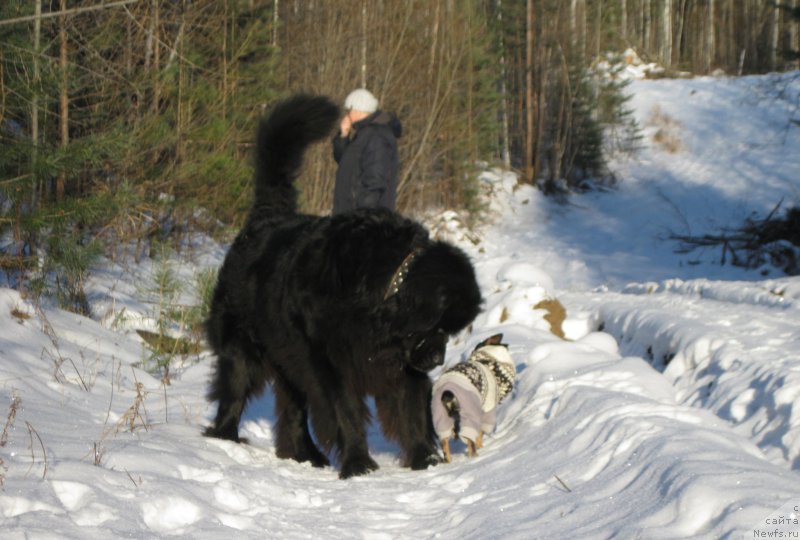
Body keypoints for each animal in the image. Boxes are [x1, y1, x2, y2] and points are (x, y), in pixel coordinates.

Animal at [206, 95, 482, 478]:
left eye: (451, 332)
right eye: (438, 327)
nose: (436, 359)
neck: (382, 288)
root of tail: (264, 218)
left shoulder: (398, 361)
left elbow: (411, 407)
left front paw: (424, 458)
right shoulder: (329, 361)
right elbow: (345, 411)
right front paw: (358, 463)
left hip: (288, 357)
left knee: (292, 408)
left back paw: (305, 454)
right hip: (244, 345)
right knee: (234, 390)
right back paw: (224, 439)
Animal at [434, 334, 516, 464]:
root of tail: (447, 393)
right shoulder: (487, 410)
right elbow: (480, 434)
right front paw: (481, 446)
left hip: (441, 420)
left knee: (446, 447)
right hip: (469, 416)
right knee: (470, 444)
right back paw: (476, 458)